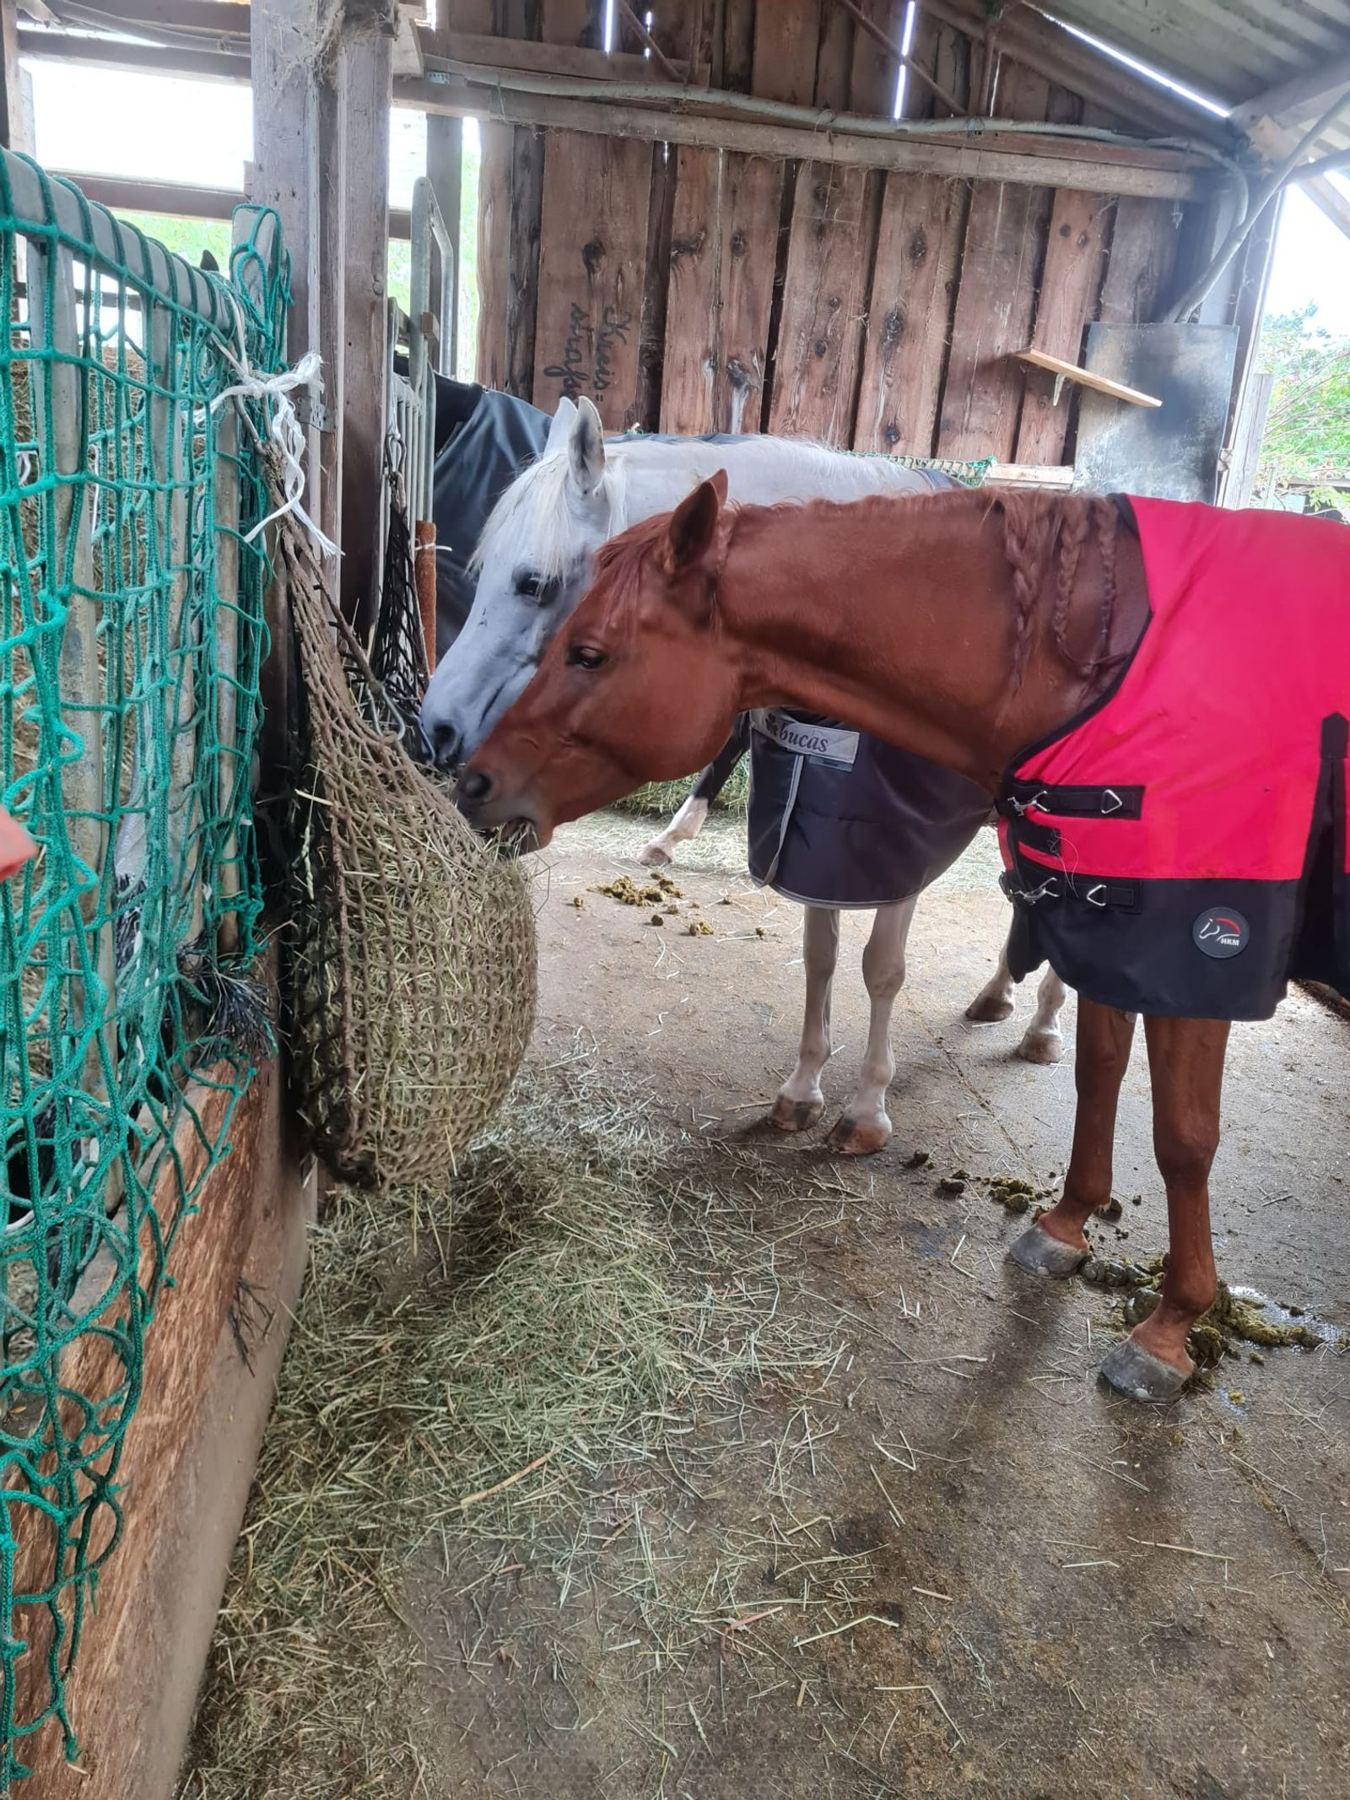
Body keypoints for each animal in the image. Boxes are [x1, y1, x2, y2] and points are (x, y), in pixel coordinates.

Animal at [420, 397, 1068, 1154]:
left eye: (533, 582)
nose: (438, 727)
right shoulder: (818, 842)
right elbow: (821, 956)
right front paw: (801, 1090)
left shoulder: (899, 852)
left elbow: (881, 971)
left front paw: (867, 1109)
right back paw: (998, 994)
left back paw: (1044, 1024)